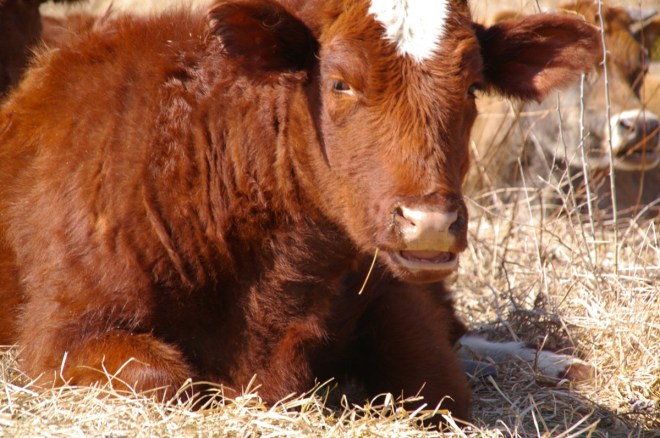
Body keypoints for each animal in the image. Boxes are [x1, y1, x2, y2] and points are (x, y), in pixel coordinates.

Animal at [0, 0, 601, 424]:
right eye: (339, 83)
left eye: (475, 86)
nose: (428, 223)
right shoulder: (61, 334)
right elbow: (165, 378)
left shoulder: (392, 291)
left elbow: (441, 385)